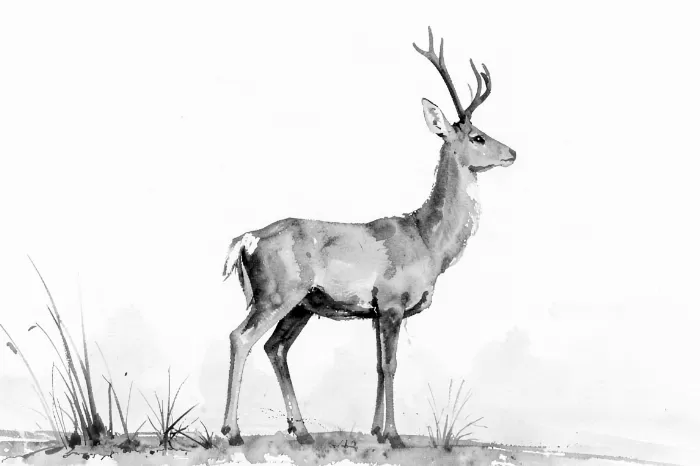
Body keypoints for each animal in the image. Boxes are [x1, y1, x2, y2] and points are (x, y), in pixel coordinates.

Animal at [220, 27, 516, 449]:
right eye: (477, 137)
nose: (512, 152)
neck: (428, 242)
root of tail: (246, 239)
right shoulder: (391, 301)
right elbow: (391, 364)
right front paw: (394, 435)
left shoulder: (376, 312)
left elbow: (377, 365)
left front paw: (375, 430)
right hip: (276, 292)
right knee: (239, 337)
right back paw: (232, 432)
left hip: (301, 305)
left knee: (274, 348)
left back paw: (303, 432)